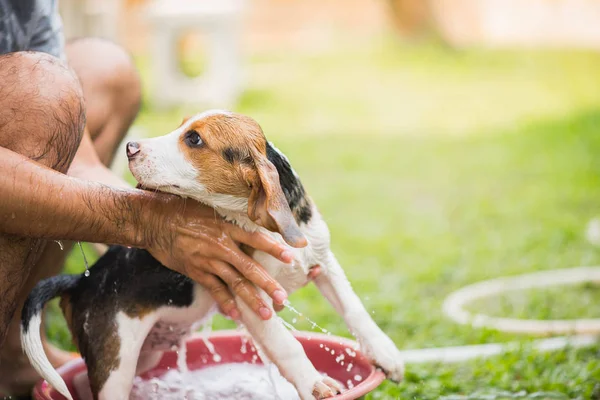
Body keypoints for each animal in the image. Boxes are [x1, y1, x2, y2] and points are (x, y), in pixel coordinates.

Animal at [19, 111, 404, 400]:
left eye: (194, 140)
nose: (130, 147)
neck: (259, 220)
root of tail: (84, 278)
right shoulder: (250, 296)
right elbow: (287, 345)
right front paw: (316, 385)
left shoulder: (323, 260)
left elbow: (354, 309)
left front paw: (386, 354)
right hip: (116, 357)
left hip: (143, 355)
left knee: (80, 381)